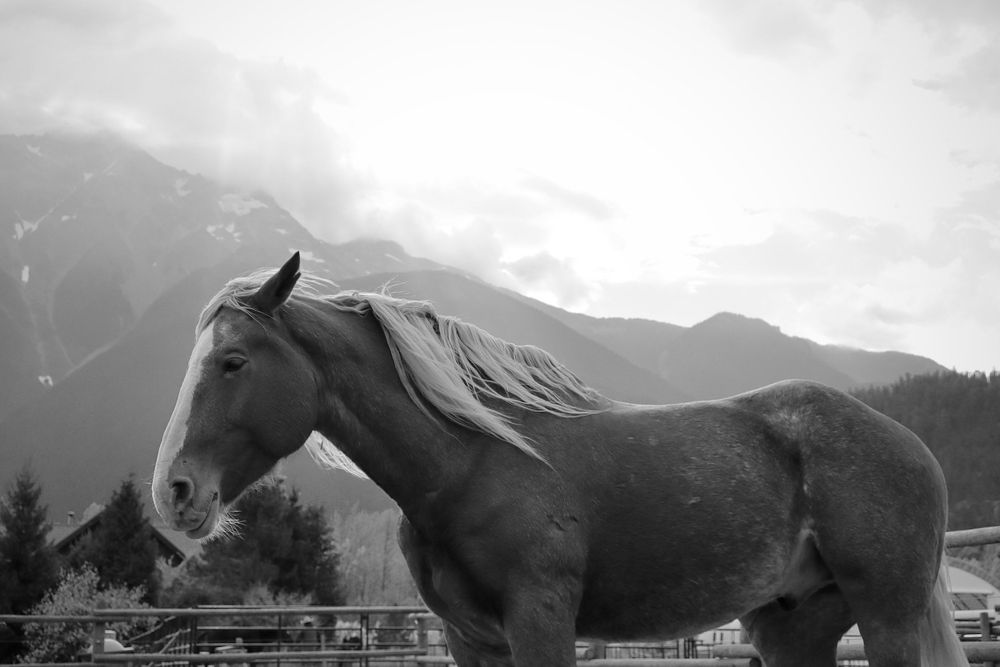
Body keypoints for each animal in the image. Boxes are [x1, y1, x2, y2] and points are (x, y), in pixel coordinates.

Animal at [152, 252, 967, 667]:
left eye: (232, 360)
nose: (173, 491)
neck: (471, 464)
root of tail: (910, 446)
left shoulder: (540, 624)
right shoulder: (471, 640)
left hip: (886, 617)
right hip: (791, 628)